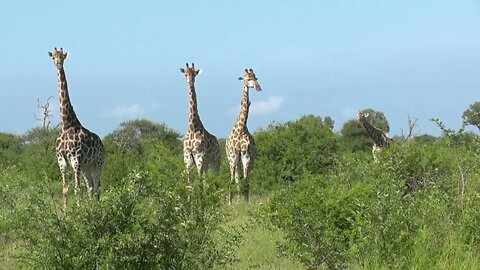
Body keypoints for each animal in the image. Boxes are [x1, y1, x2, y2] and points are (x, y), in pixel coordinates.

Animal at [47, 47, 105, 210]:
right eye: (53, 57)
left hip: (98, 163)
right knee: (91, 186)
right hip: (87, 166)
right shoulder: (62, 161)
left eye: (63, 57)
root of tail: (102, 145)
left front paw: (78, 211)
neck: (66, 124)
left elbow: (77, 188)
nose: (58, 64)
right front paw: (65, 212)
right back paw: (91, 206)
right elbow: (65, 189)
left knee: (97, 186)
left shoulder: (76, 160)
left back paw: (96, 207)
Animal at [226, 68, 262, 205]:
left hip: (251, 159)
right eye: (247, 78)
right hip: (234, 160)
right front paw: (230, 203)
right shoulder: (233, 156)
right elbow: (232, 180)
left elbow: (245, 180)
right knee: (236, 178)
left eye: (256, 77)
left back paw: (245, 198)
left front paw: (245, 202)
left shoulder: (246, 155)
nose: (258, 87)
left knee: (246, 178)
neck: (241, 128)